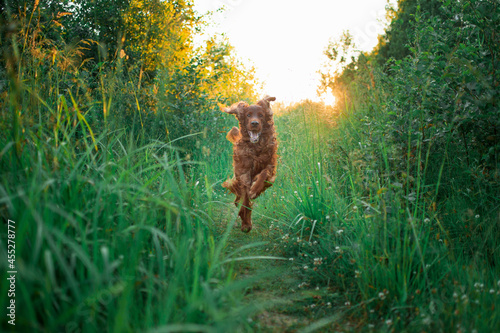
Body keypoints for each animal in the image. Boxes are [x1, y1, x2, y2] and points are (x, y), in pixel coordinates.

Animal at [222, 95, 278, 231]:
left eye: (261, 115)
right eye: (248, 115)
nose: (254, 123)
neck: (256, 148)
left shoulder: (271, 167)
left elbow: (264, 174)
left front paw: (255, 190)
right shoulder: (243, 173)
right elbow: (245, 199)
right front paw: (246, 223)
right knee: (239, 197)